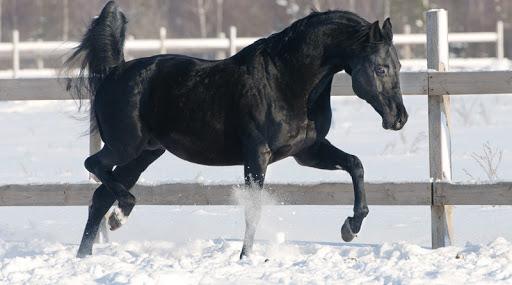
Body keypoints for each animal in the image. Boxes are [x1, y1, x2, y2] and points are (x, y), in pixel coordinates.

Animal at [67, 0, 408, 258]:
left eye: (399, 66)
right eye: (381, 68)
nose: (399, 119)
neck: (285, 80)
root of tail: (114, 72)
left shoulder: (307, 151)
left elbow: (355, 165)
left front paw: (351, 227)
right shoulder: (257, 154)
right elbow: (253, 209)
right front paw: (245, 258)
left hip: (144, 154)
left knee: (99, 196)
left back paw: (89, 252)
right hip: (127, 146)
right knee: (93, 166)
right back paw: (119, 216)